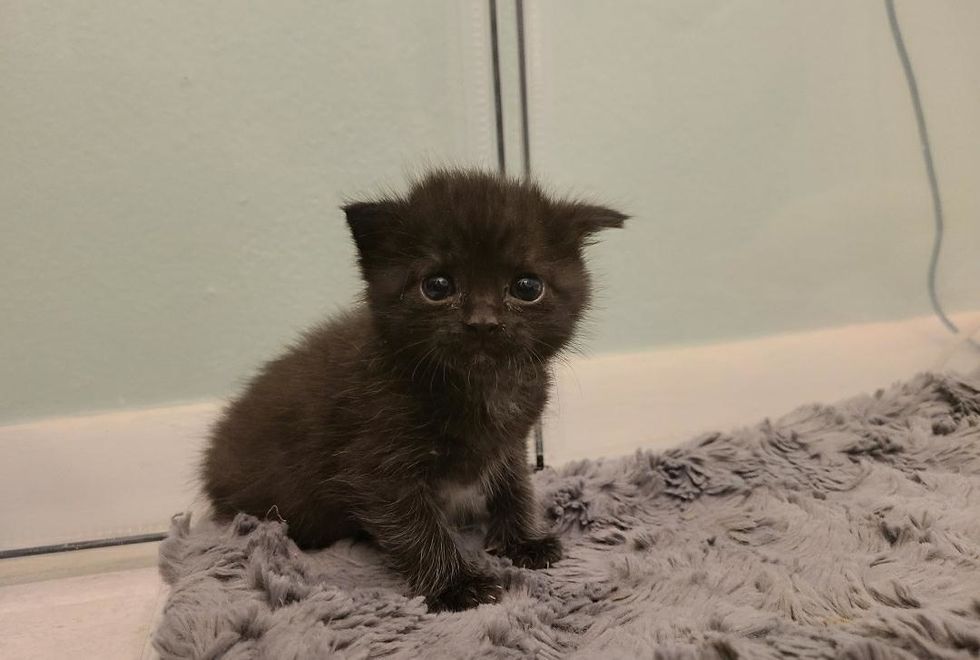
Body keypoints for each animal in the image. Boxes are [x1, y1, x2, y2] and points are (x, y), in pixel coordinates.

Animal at [202, 168, 624, 612]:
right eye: (437, 286)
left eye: (527, 287)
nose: (483, 322)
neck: (482, 387)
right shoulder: (378, 465)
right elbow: (419, 528)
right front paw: (458, 585)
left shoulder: (510, 443)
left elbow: (515, 486)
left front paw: (524, 541)